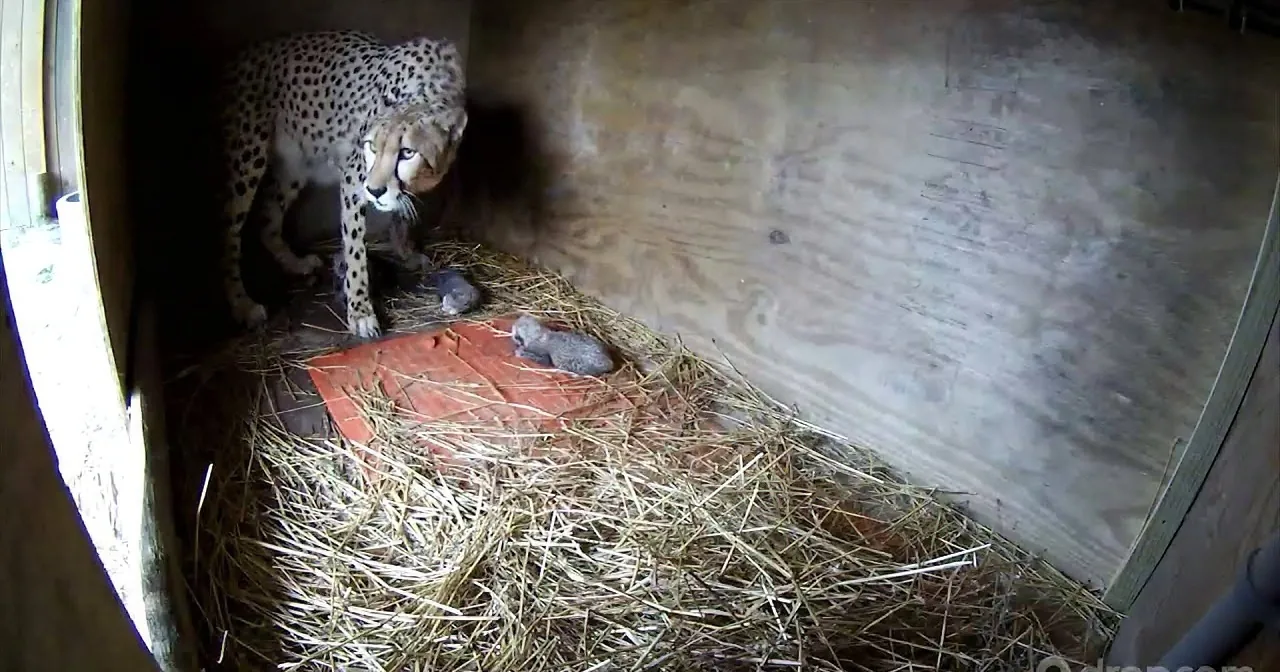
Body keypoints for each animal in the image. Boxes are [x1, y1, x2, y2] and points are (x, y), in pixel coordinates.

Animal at [217, 30, 469, 339]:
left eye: (407, 152)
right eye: (372, 146)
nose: (375, 191)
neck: (429, 88)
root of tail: (236, 58)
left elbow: (398, 214)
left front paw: (406, 252)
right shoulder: (353, 180)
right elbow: (355, 250)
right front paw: (360, 312)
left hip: (295, 164)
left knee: (267, 218)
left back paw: (295, 262)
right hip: (247, 157)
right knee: (229, 234)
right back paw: (242, 304)